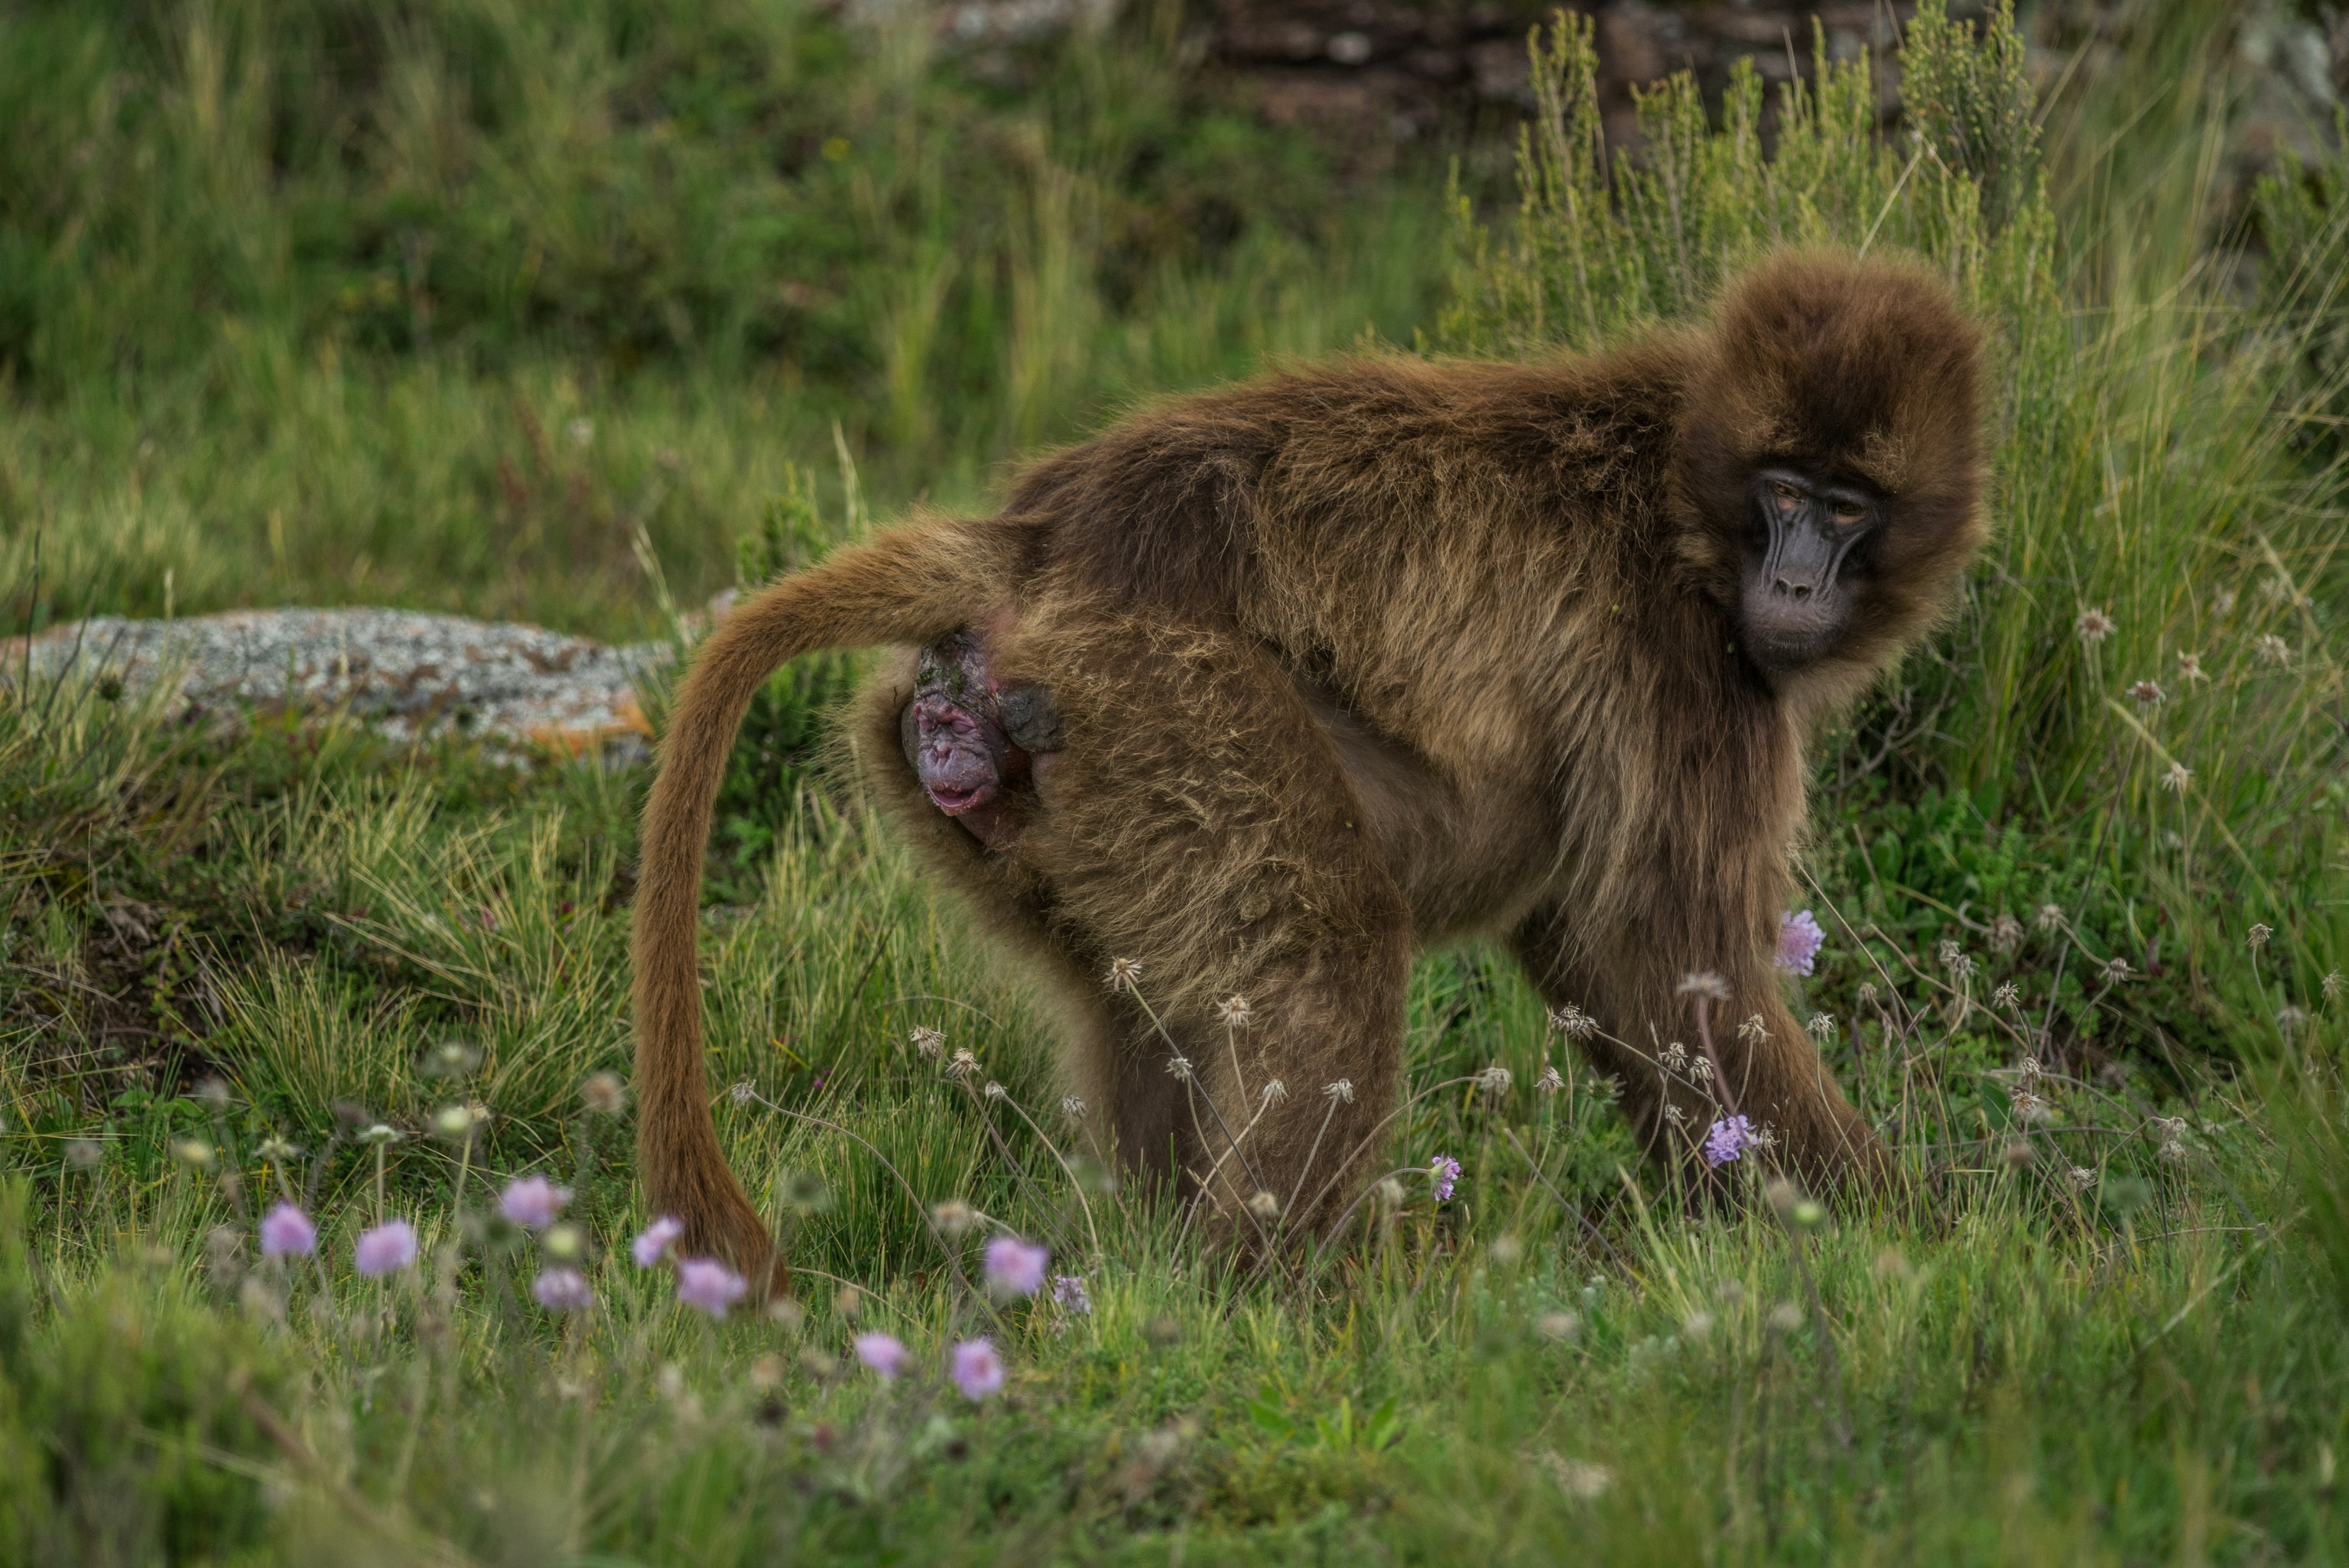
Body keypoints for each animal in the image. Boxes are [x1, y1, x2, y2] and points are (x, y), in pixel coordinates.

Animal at [629, 255, 1982, 1286]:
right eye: (1788, 492)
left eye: (1849, 505)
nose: (1795, 584)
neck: (1686, 486)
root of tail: (1035, 540)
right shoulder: (1688, 662)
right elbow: (1670, 957)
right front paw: (1898, 1234)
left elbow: (1599, 955)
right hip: (1155, 700)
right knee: (1329, 944)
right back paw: (1276, 1301)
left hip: (996, 774)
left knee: (1150, 998)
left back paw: (1161, 1266)